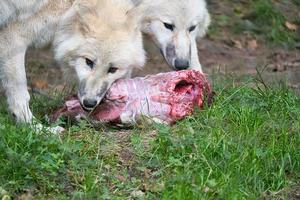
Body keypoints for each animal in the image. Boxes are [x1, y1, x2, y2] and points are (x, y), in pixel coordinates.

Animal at [0, 0, 145, 128]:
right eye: (88, 62)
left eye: (113, 69)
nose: (89, 103)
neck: (69, 7)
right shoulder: (12, 38)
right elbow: (21, 96)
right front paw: (35, 128)